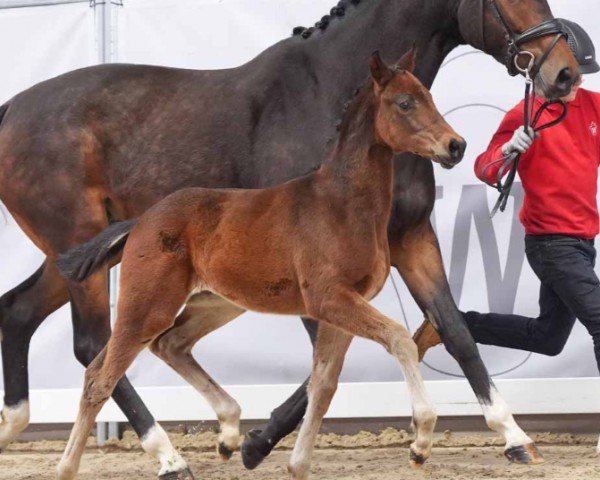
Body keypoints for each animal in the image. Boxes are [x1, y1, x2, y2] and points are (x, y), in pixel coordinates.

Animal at [56, 49, 466, 480]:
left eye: (429, 96)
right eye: (404, 103)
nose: (456, 146)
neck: (340, 204)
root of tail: (140, 222)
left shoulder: (340, 309)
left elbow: (323, 385)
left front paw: (297, 464)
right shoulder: (329, 299)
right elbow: (400, 339)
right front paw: (420, 441)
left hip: (214, 304)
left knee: (164, 346)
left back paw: (228, 432)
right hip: (148, 306)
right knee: (101, 377)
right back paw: (72, 466)